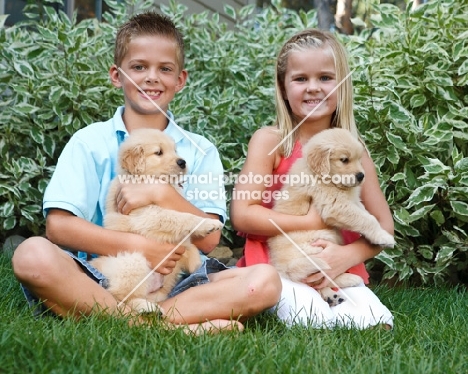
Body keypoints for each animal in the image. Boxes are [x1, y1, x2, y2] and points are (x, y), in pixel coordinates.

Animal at [92, 130, 225, 314]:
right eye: (158, 152)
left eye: (175, 150)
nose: (182, 162)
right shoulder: (147, 216)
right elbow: (179, 217)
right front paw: (207, 224)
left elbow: (190, 245)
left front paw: (197, 264)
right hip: (132, 262)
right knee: (121, 298)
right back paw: (147, 307)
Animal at [266, 129, 394, 306]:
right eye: (344, 160)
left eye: (359, 159)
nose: (361, 176)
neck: (323, 176)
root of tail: (283, 267)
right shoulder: (335, 205)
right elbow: (368, 219)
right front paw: (384, 237)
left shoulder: (354, 202)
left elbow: (367, 215)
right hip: (317, 244)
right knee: (320, 278)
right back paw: (341, 286)